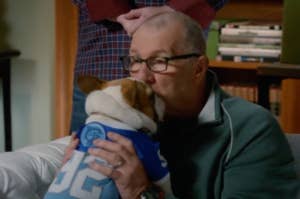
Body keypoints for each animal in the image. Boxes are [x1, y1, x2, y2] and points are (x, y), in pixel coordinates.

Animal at [43, 76, 173, 199]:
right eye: (152, 96)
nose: (161, 97)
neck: (109, 116)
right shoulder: (149, 151)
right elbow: (165, 181)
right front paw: (171, 194)